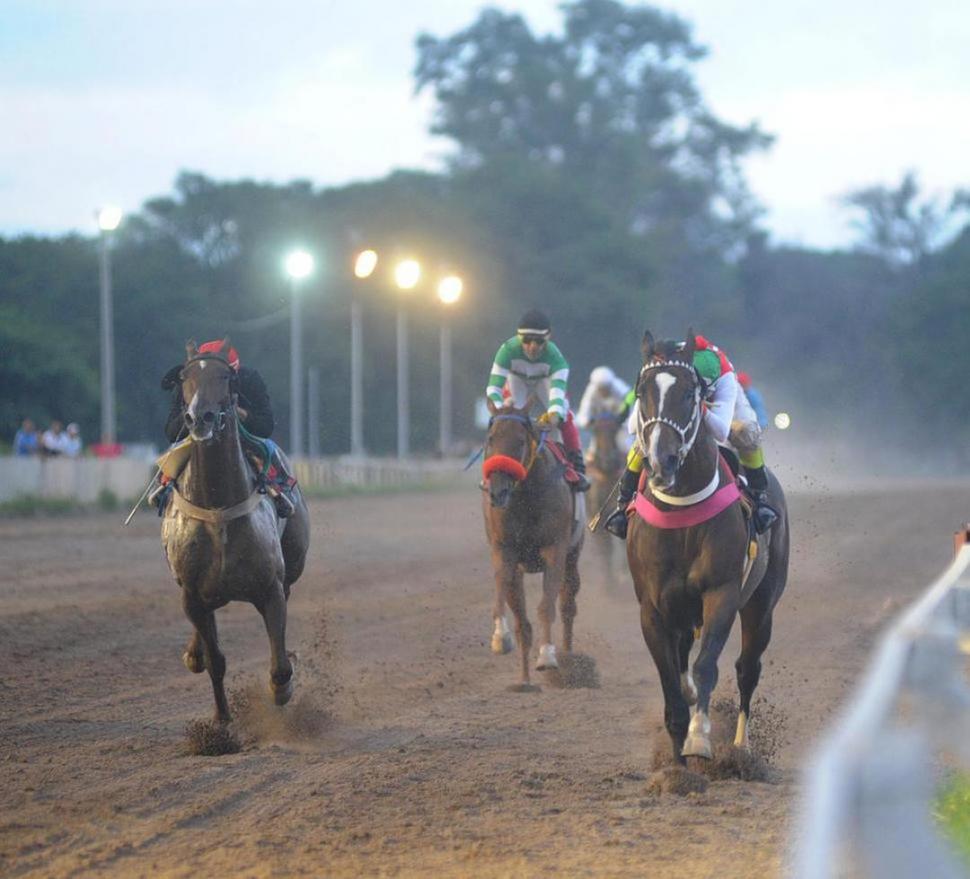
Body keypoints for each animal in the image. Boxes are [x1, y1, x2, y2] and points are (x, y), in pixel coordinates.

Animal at [161, 338, 308, 720]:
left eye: (226, 376)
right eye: (184, 377)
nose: (200, 417)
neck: (217, 508)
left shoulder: (270, 587)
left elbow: (280, 665)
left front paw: (282, 690)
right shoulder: (193, 594)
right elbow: (216, 661)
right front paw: (221, 721)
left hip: (294, 561)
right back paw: (193, 652)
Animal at [482, 402, 584, 692]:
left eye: (519, 441)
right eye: (490, 439)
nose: (497, 491)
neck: (525, 497)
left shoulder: (555, 551)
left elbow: (547, 606)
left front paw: (548, 655)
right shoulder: (504, 551)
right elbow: (502, 596)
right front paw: (500, 638)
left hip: (572, 558)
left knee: (567, 606)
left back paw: (568, 660)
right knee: (522, 623)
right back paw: (525, 680)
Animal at [624, 330, 792, 764]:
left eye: (688, 394)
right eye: (642, 392)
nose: (662, 460)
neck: (681, 506)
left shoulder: (722, 594)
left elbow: (706, 668)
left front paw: (698, 739)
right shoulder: (652, 606)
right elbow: (672, 681)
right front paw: (676, 761)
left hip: (762, 603)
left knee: (747, 668)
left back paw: (741, 747)